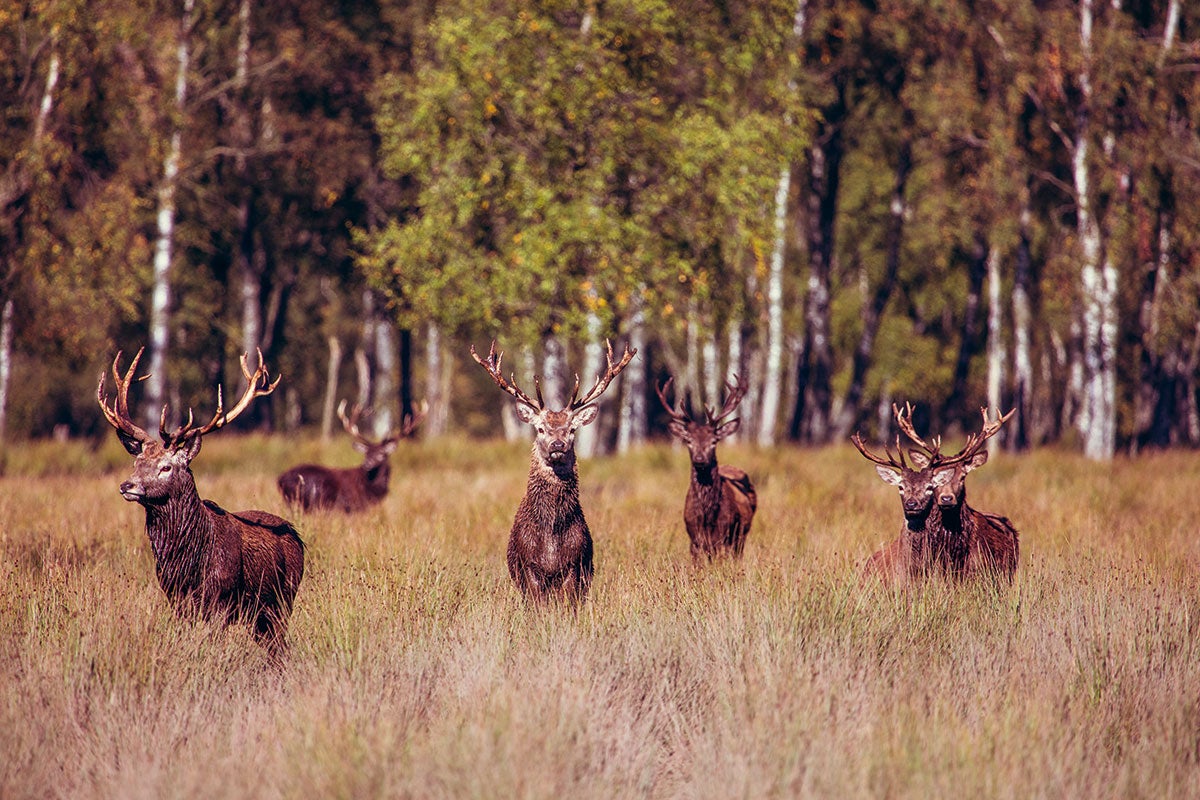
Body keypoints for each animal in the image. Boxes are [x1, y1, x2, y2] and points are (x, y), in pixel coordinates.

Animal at [98, 347, 304, 662]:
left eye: (167, 467)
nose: (127, 485)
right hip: (259, 615)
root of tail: (298, 538)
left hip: (283, 600)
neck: (188, 562)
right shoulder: (176, 599)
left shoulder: (221, 599)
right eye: (137, 462)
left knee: (280, 646)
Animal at [276, 400, 422, 513]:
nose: (366, 464)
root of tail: (280, 479)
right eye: (366, 453)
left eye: (382, 454)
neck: (371, 490)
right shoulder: (352, 507)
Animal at [470, 335, 638, 599]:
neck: (550, 538)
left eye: (572, 429)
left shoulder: (574, 565)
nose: (557, 444)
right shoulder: (528, 565)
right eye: (540, 428)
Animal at [662, 374, 753, 556]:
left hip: (741, 536)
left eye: (714, 441)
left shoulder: (724, 537)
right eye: (689, 441)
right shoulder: (694, 539)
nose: (699, 459)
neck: (707, 516)